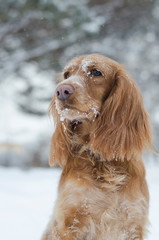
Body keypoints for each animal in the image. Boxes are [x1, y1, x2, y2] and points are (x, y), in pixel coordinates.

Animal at [41, 53, 152, 239]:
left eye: (96, 72)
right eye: (66, 74)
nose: (62, 90)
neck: (103, 163)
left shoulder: (132, 221)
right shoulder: (69, 221)